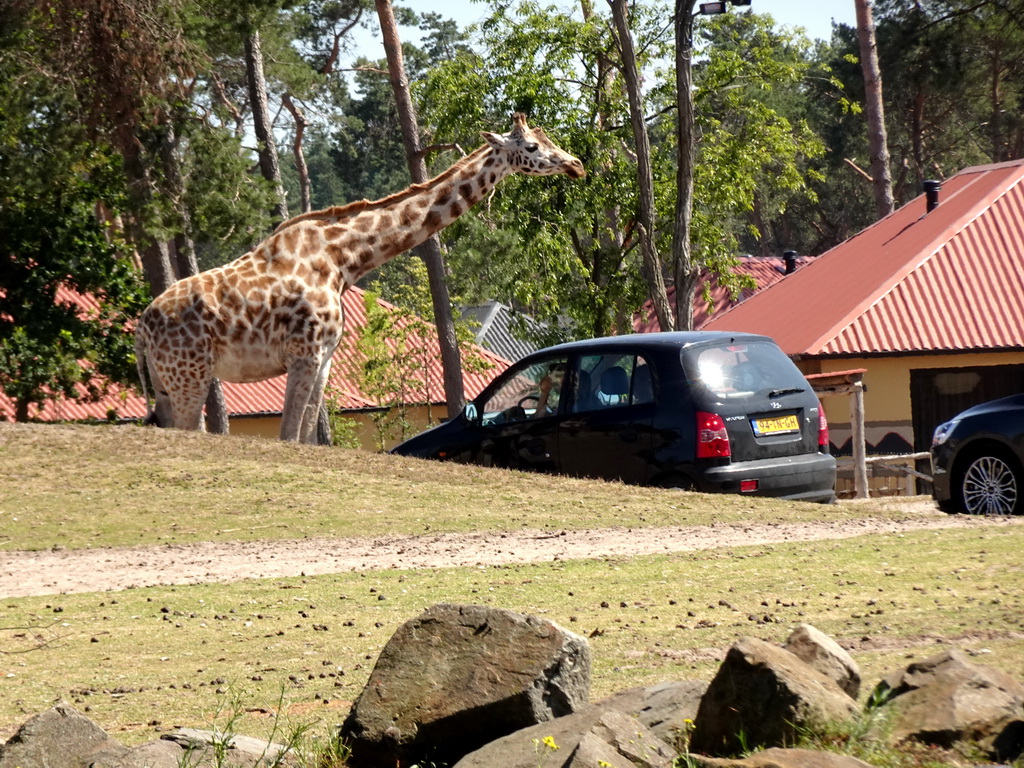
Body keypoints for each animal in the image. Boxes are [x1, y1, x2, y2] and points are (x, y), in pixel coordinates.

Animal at [135, 111, 585, 442]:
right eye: (532, 146)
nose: (577, 164)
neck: (343, 260)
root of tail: (142, 327)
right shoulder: (303, 352)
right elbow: (289, 435)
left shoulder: (323, 357)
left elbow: (305, 437)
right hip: (190, 375)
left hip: (164, 383)